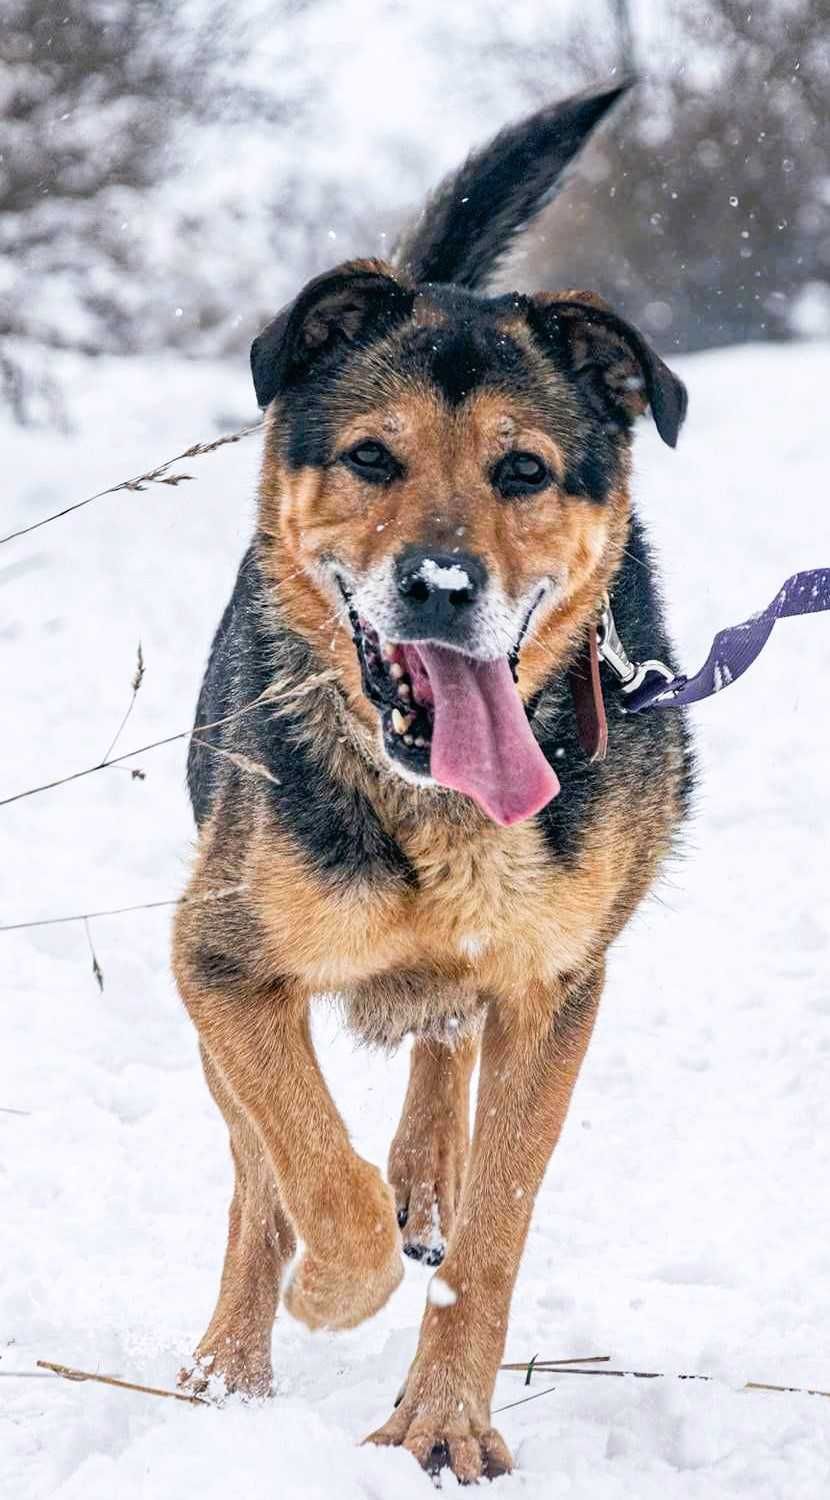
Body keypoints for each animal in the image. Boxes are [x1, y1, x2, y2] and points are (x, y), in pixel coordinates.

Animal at [173, 85, 693, 1488]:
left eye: (521, 471)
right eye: (369, 459)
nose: (440, 588)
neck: (435, 809)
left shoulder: (555, 987)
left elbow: (495, 1233)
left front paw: (443, 1423)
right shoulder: (220, 963)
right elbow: (303, 1168)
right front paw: (328, 1286)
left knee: (438, 1058)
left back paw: (421, 1175)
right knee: (253, 1172)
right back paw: (229, 1365)